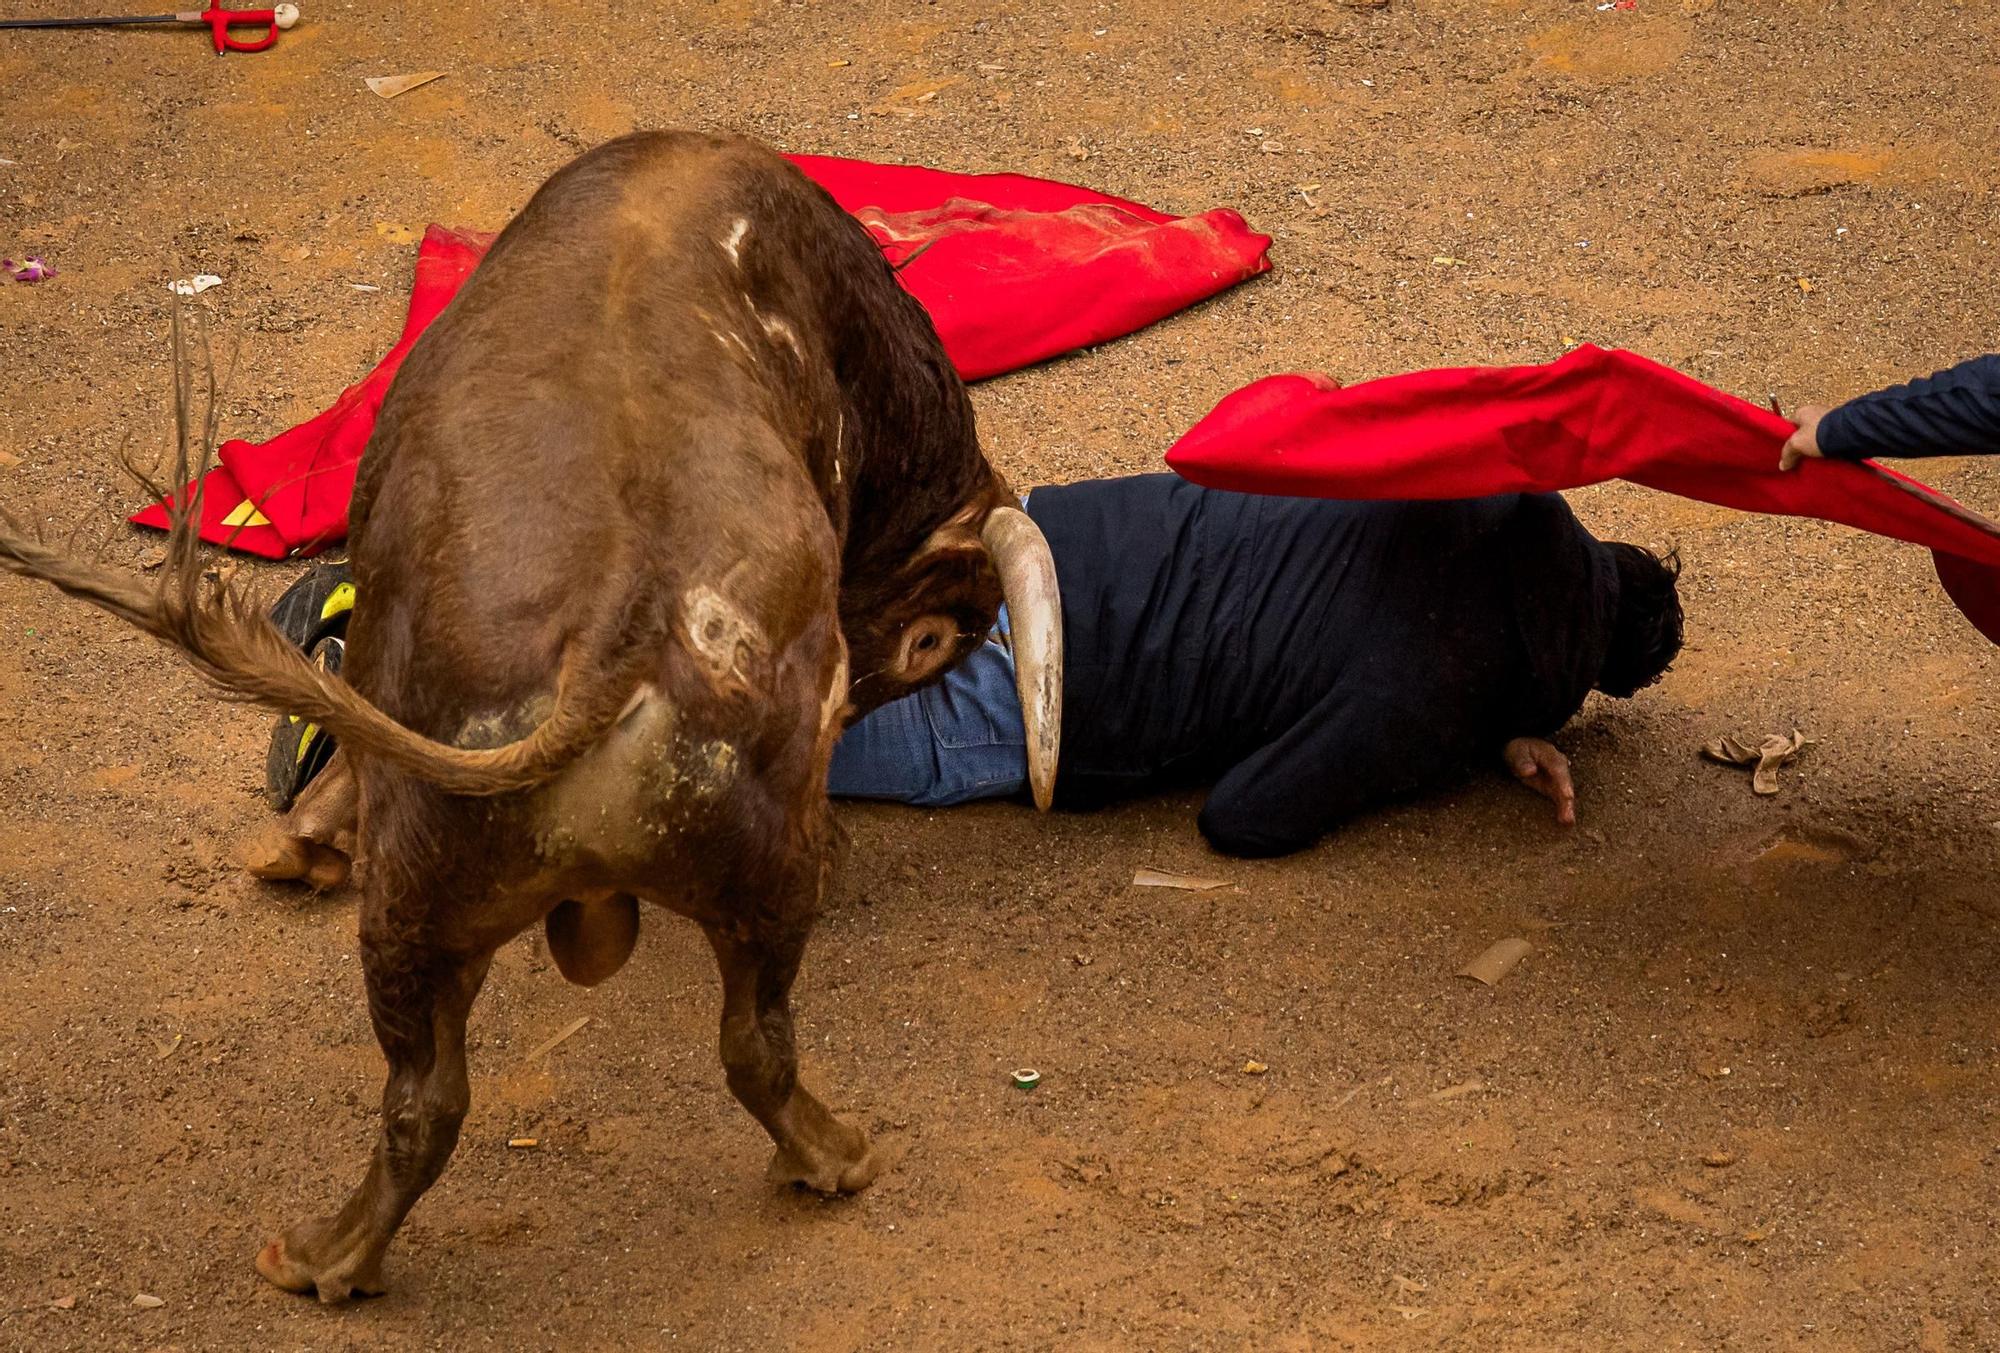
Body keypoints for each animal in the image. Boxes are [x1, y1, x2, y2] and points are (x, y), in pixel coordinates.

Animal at [0, 132, 1064, 1304]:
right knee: (742, 1041)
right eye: (934, 640)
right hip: (713, 882)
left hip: (424, 899)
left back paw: (325, 1256)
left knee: (438, 1095)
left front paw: (307, 839)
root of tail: (615, 633)